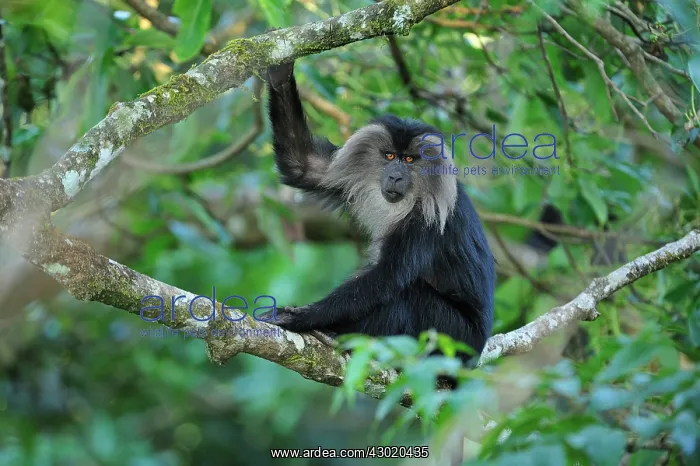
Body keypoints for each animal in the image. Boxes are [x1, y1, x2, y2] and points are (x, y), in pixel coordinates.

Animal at [262, 60, 496, 368]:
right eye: (389, 156)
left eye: (408, 159)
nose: (395, 176)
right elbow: (304, 165)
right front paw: (280, 74)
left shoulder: (426, 220)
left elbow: (386, 277)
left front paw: (302, 317)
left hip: (455, 336)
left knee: (408, 298)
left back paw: (340, 331)